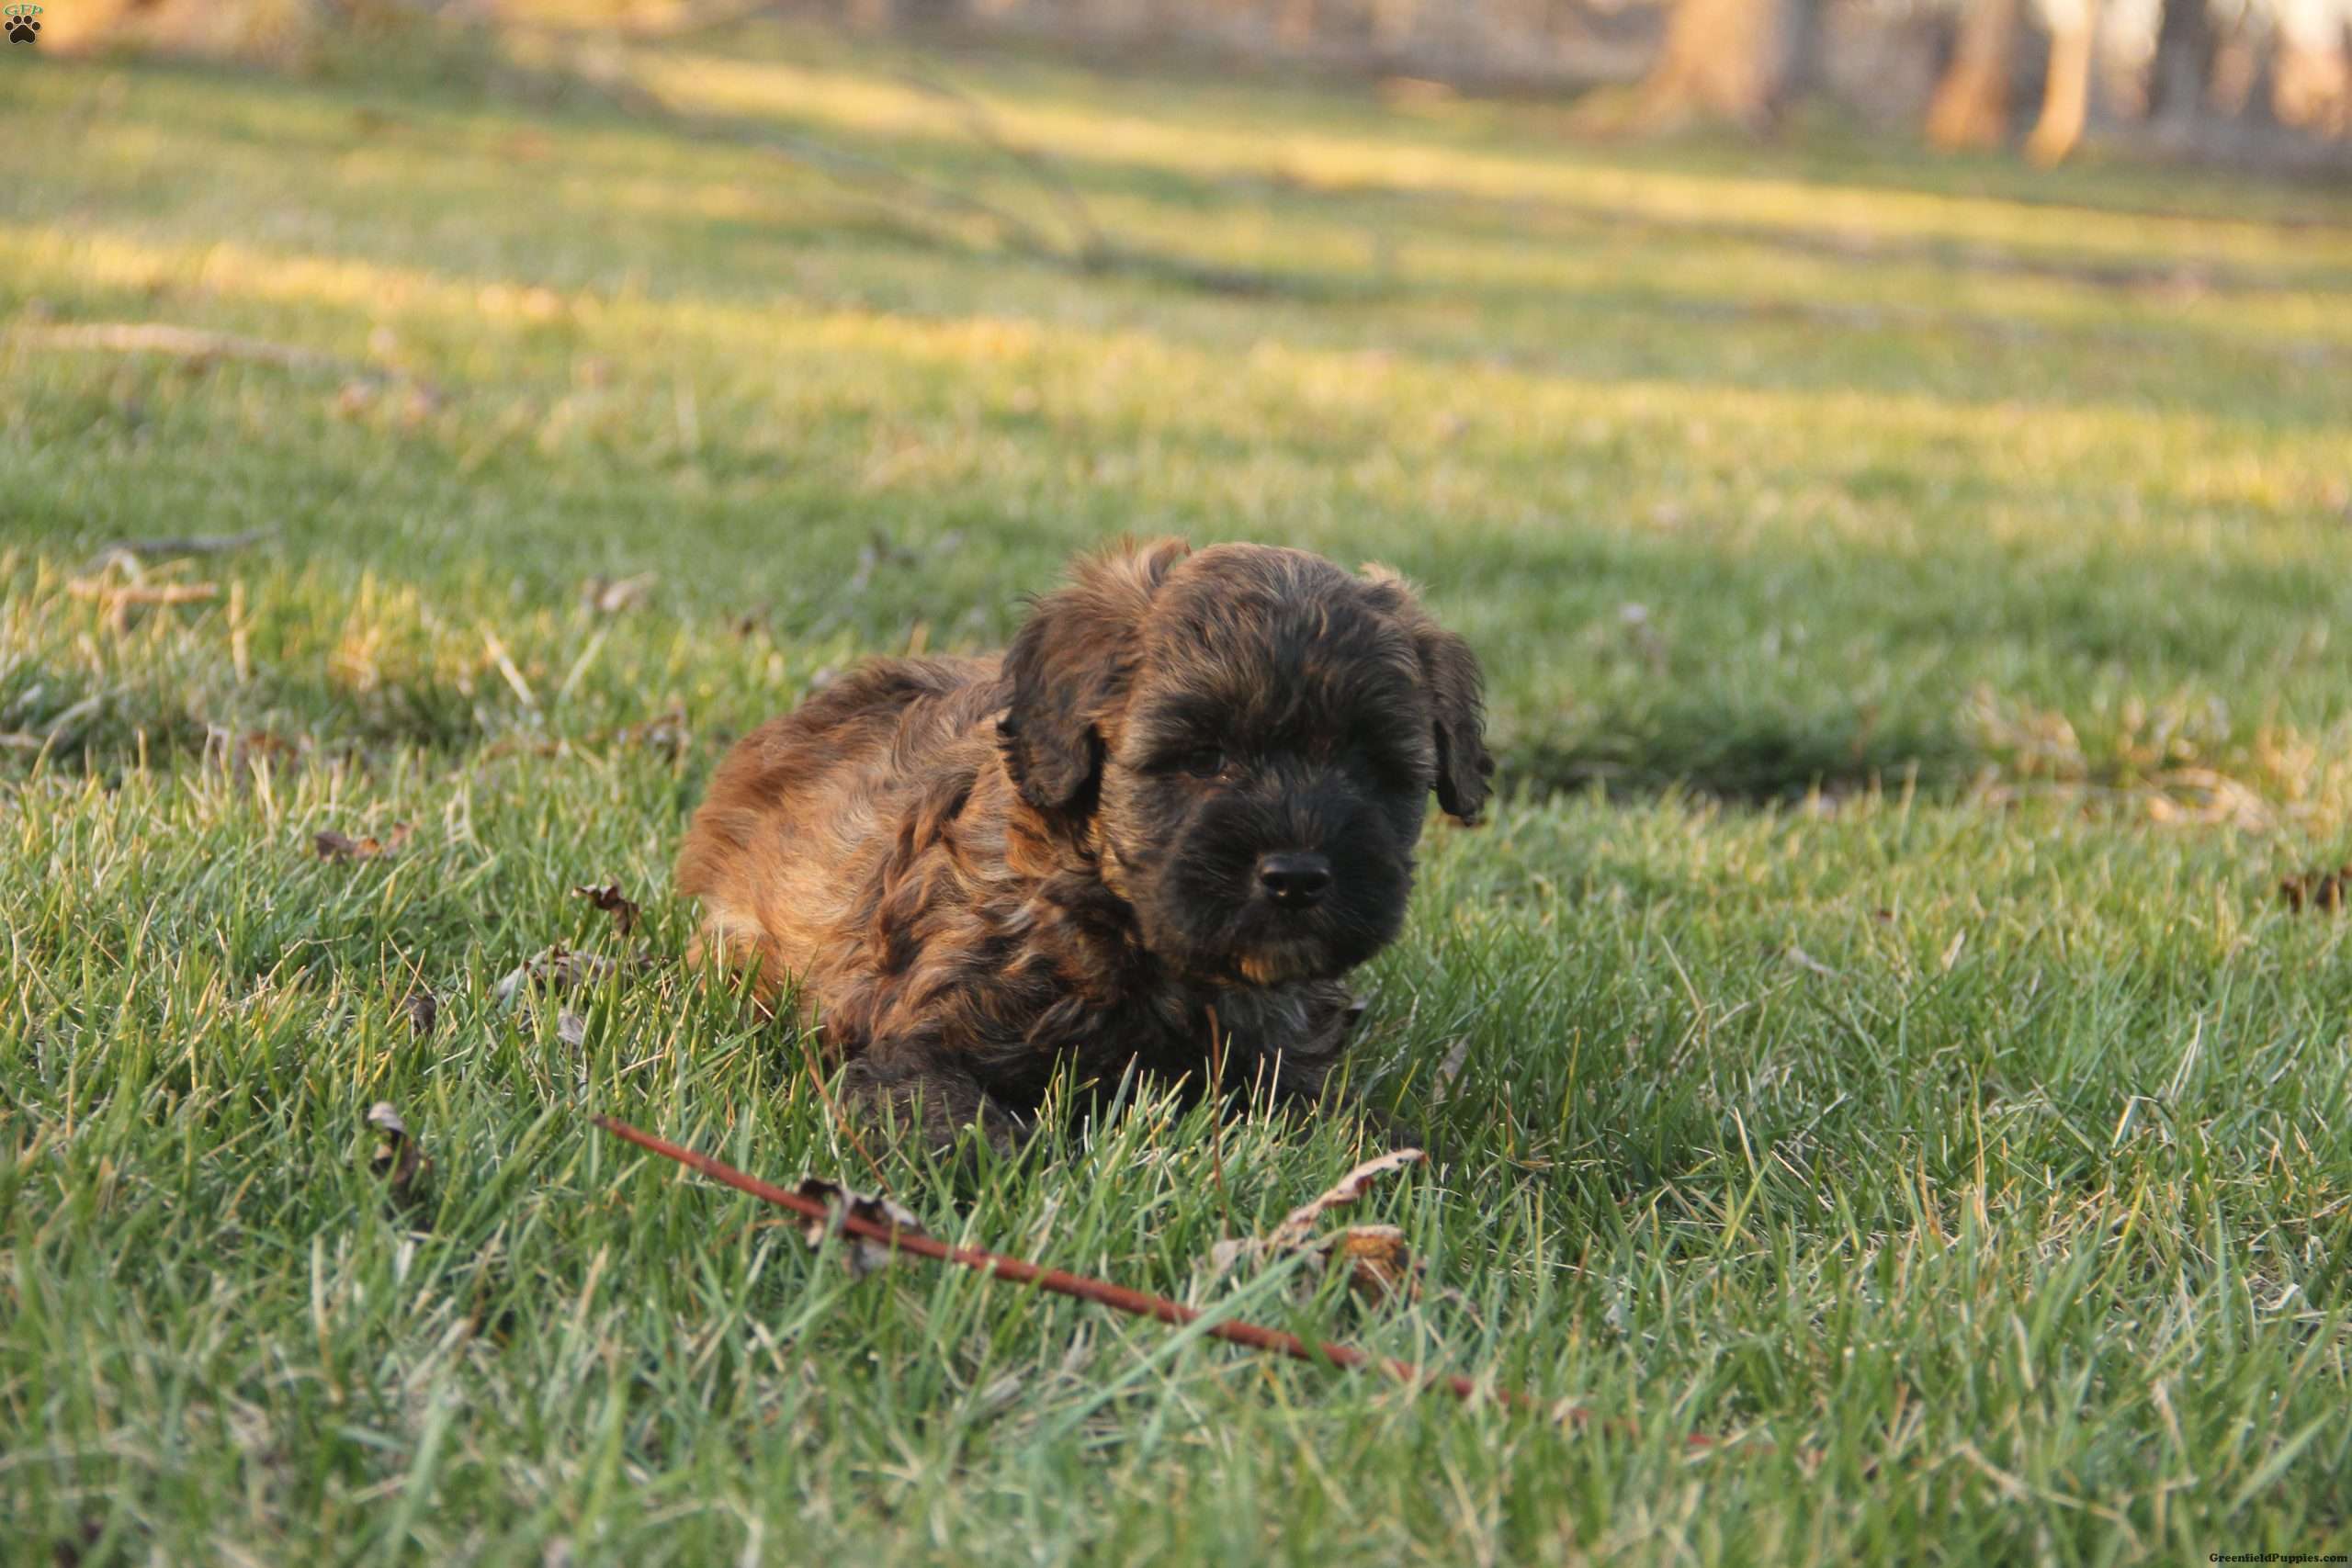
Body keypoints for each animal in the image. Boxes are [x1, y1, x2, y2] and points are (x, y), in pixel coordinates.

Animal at [673, 543, 1496, 1152]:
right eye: (1203, 755)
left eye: (1368, 764)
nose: (1296, 877)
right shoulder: (915, 1031)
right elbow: (943, 1111)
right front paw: (991, 1159)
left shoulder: (1278, 1059)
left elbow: (1336, 1117)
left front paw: (1396, 1154)